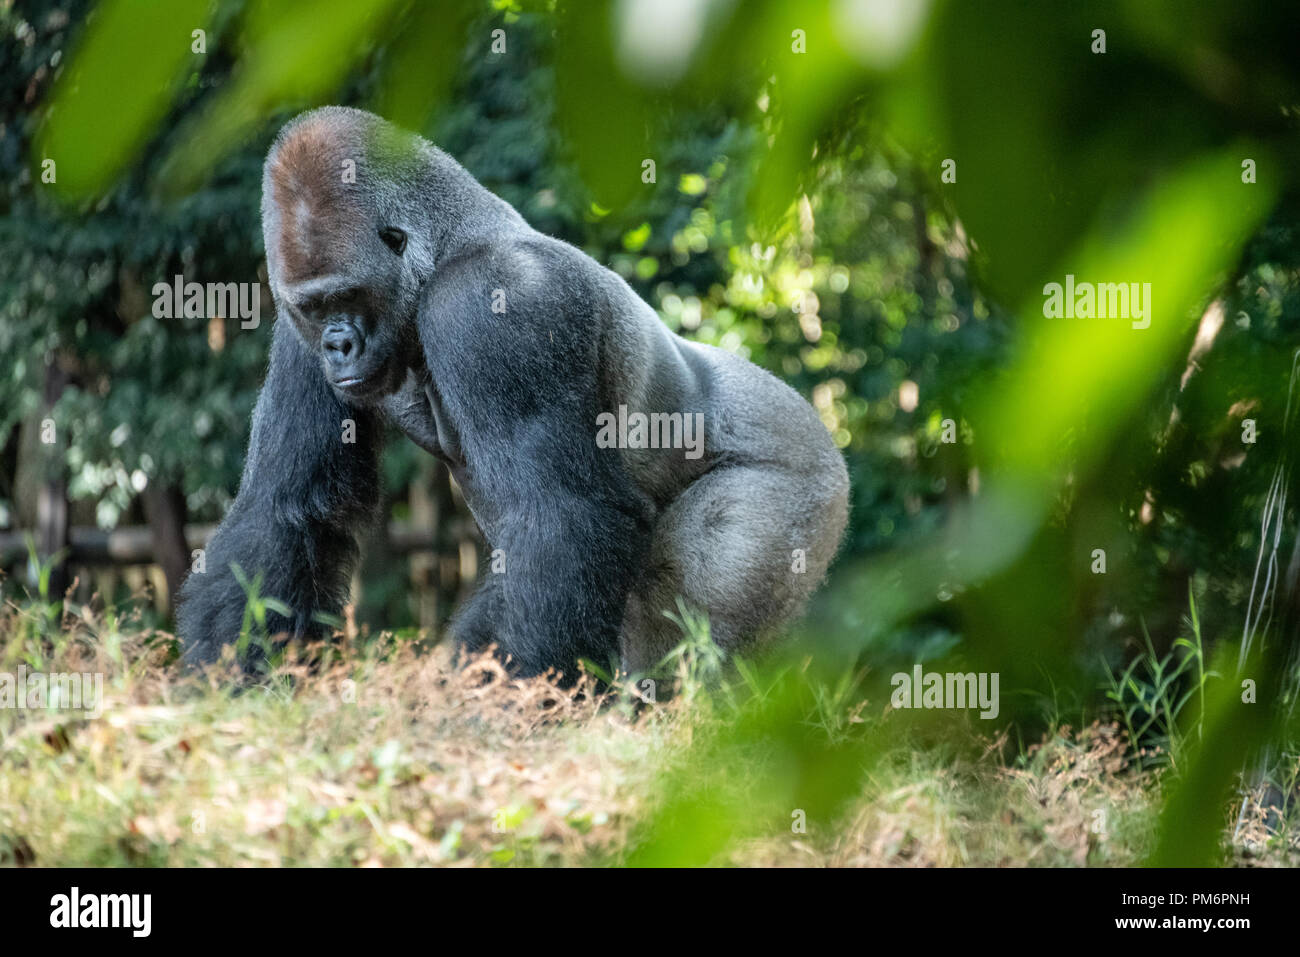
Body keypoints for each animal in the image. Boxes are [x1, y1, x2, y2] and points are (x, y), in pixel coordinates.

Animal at [180, 106, 852, 681]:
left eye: (347, 298)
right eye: (315, 309)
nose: (337, 346)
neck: (446, 247)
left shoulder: (500, 301)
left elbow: (560, 516)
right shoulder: (298, 337)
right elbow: (287, 508)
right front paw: (225, 680)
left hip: (800, 489)